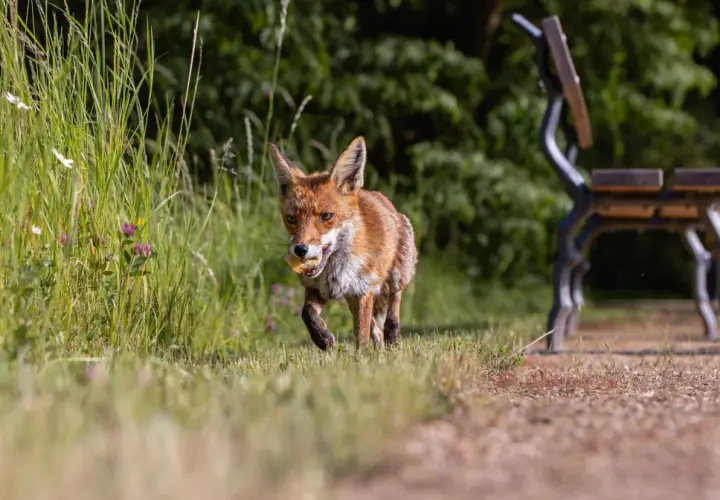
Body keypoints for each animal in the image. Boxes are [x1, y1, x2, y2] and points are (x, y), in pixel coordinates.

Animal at [268, 136, 418, 351]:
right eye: (291, 219)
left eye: (326, 216)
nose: (300, 249)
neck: (335, 270)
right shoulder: (317, 289)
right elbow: (306, 313)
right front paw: (322, 338)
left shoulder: (363, 291)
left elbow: (361, 336)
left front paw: (360, 357)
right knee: (376, 328)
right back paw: (380, 347)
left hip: (397, 275)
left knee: (393, 307)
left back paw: (393, 338)